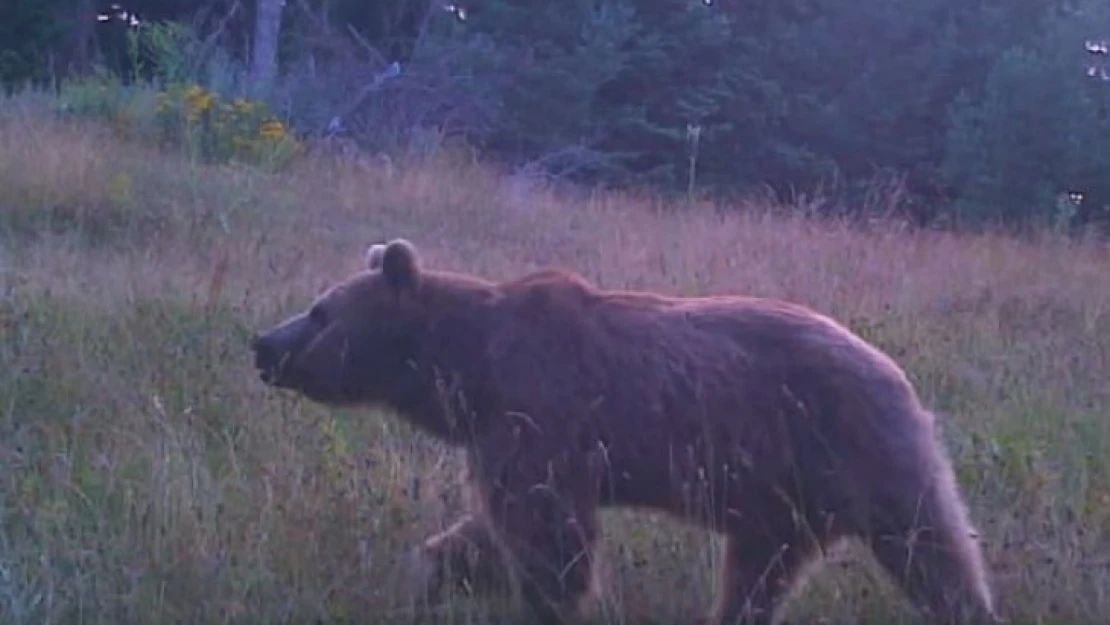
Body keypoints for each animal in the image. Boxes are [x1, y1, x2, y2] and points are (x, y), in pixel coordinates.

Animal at [255, 238, 1003, 625]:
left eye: (319, 311)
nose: (263, 343)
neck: (467, 366)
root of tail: (901, 375)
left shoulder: (542, 410)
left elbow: (549, 535)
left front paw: (544, 603)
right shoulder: (507, 434)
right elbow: (487, 530)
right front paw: (434, 577)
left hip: (856, 447)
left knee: (932, 549)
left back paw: (970, 606)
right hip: (782, 499)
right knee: (756, 574)